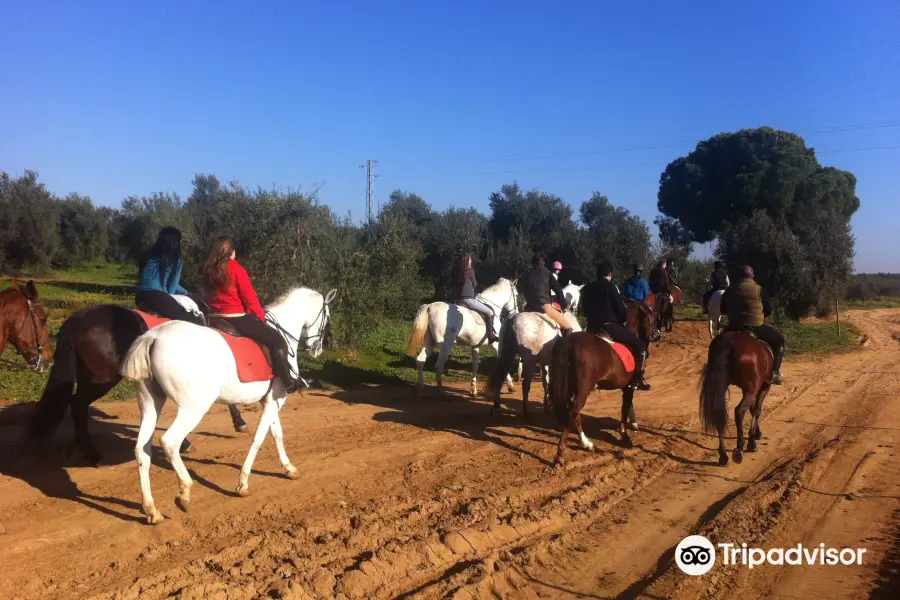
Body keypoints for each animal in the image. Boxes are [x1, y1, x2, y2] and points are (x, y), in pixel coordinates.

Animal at [116, 288, 334, 524]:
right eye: (327, 317)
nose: (317, 350)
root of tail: (154, 336)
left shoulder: (272, 399)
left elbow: (277, 434)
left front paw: (288, 468)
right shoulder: (277, 399)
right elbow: (259, 439)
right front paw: (243, 483)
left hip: (150, 403)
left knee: (141, 450)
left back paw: (151, 510)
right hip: (193, 408)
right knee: (170, 442)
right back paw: (185, 492)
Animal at [486, 286, 584, 418]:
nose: (577, 309)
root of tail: (512, 320)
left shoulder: (545, 362)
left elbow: (546, 382)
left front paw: (547, 406)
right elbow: (552, 382)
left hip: (504, 356)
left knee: (500, 378)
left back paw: (496, 407)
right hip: (530, 362)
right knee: (525, 385)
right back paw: (526, 411)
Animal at [548, 302, 652, 466]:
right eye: (649, 318)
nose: (655, 335)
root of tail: (570, 341)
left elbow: (626, 406)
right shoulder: (628, 388)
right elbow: (625, 407)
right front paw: (624, 435)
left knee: (571, 410)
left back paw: (583, 444)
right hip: (583, 388)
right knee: (574, 410)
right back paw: (567, 451)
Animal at [696, 330, 772, 466]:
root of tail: (728, 341)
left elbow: (753, 409)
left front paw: (757, 433)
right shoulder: (763, 387)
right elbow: (756, 410)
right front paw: (752, 440)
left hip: (722, 386)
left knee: (719, 413)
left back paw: (723, 455)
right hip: (752, 390)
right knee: (739, 411)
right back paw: (739, 449)